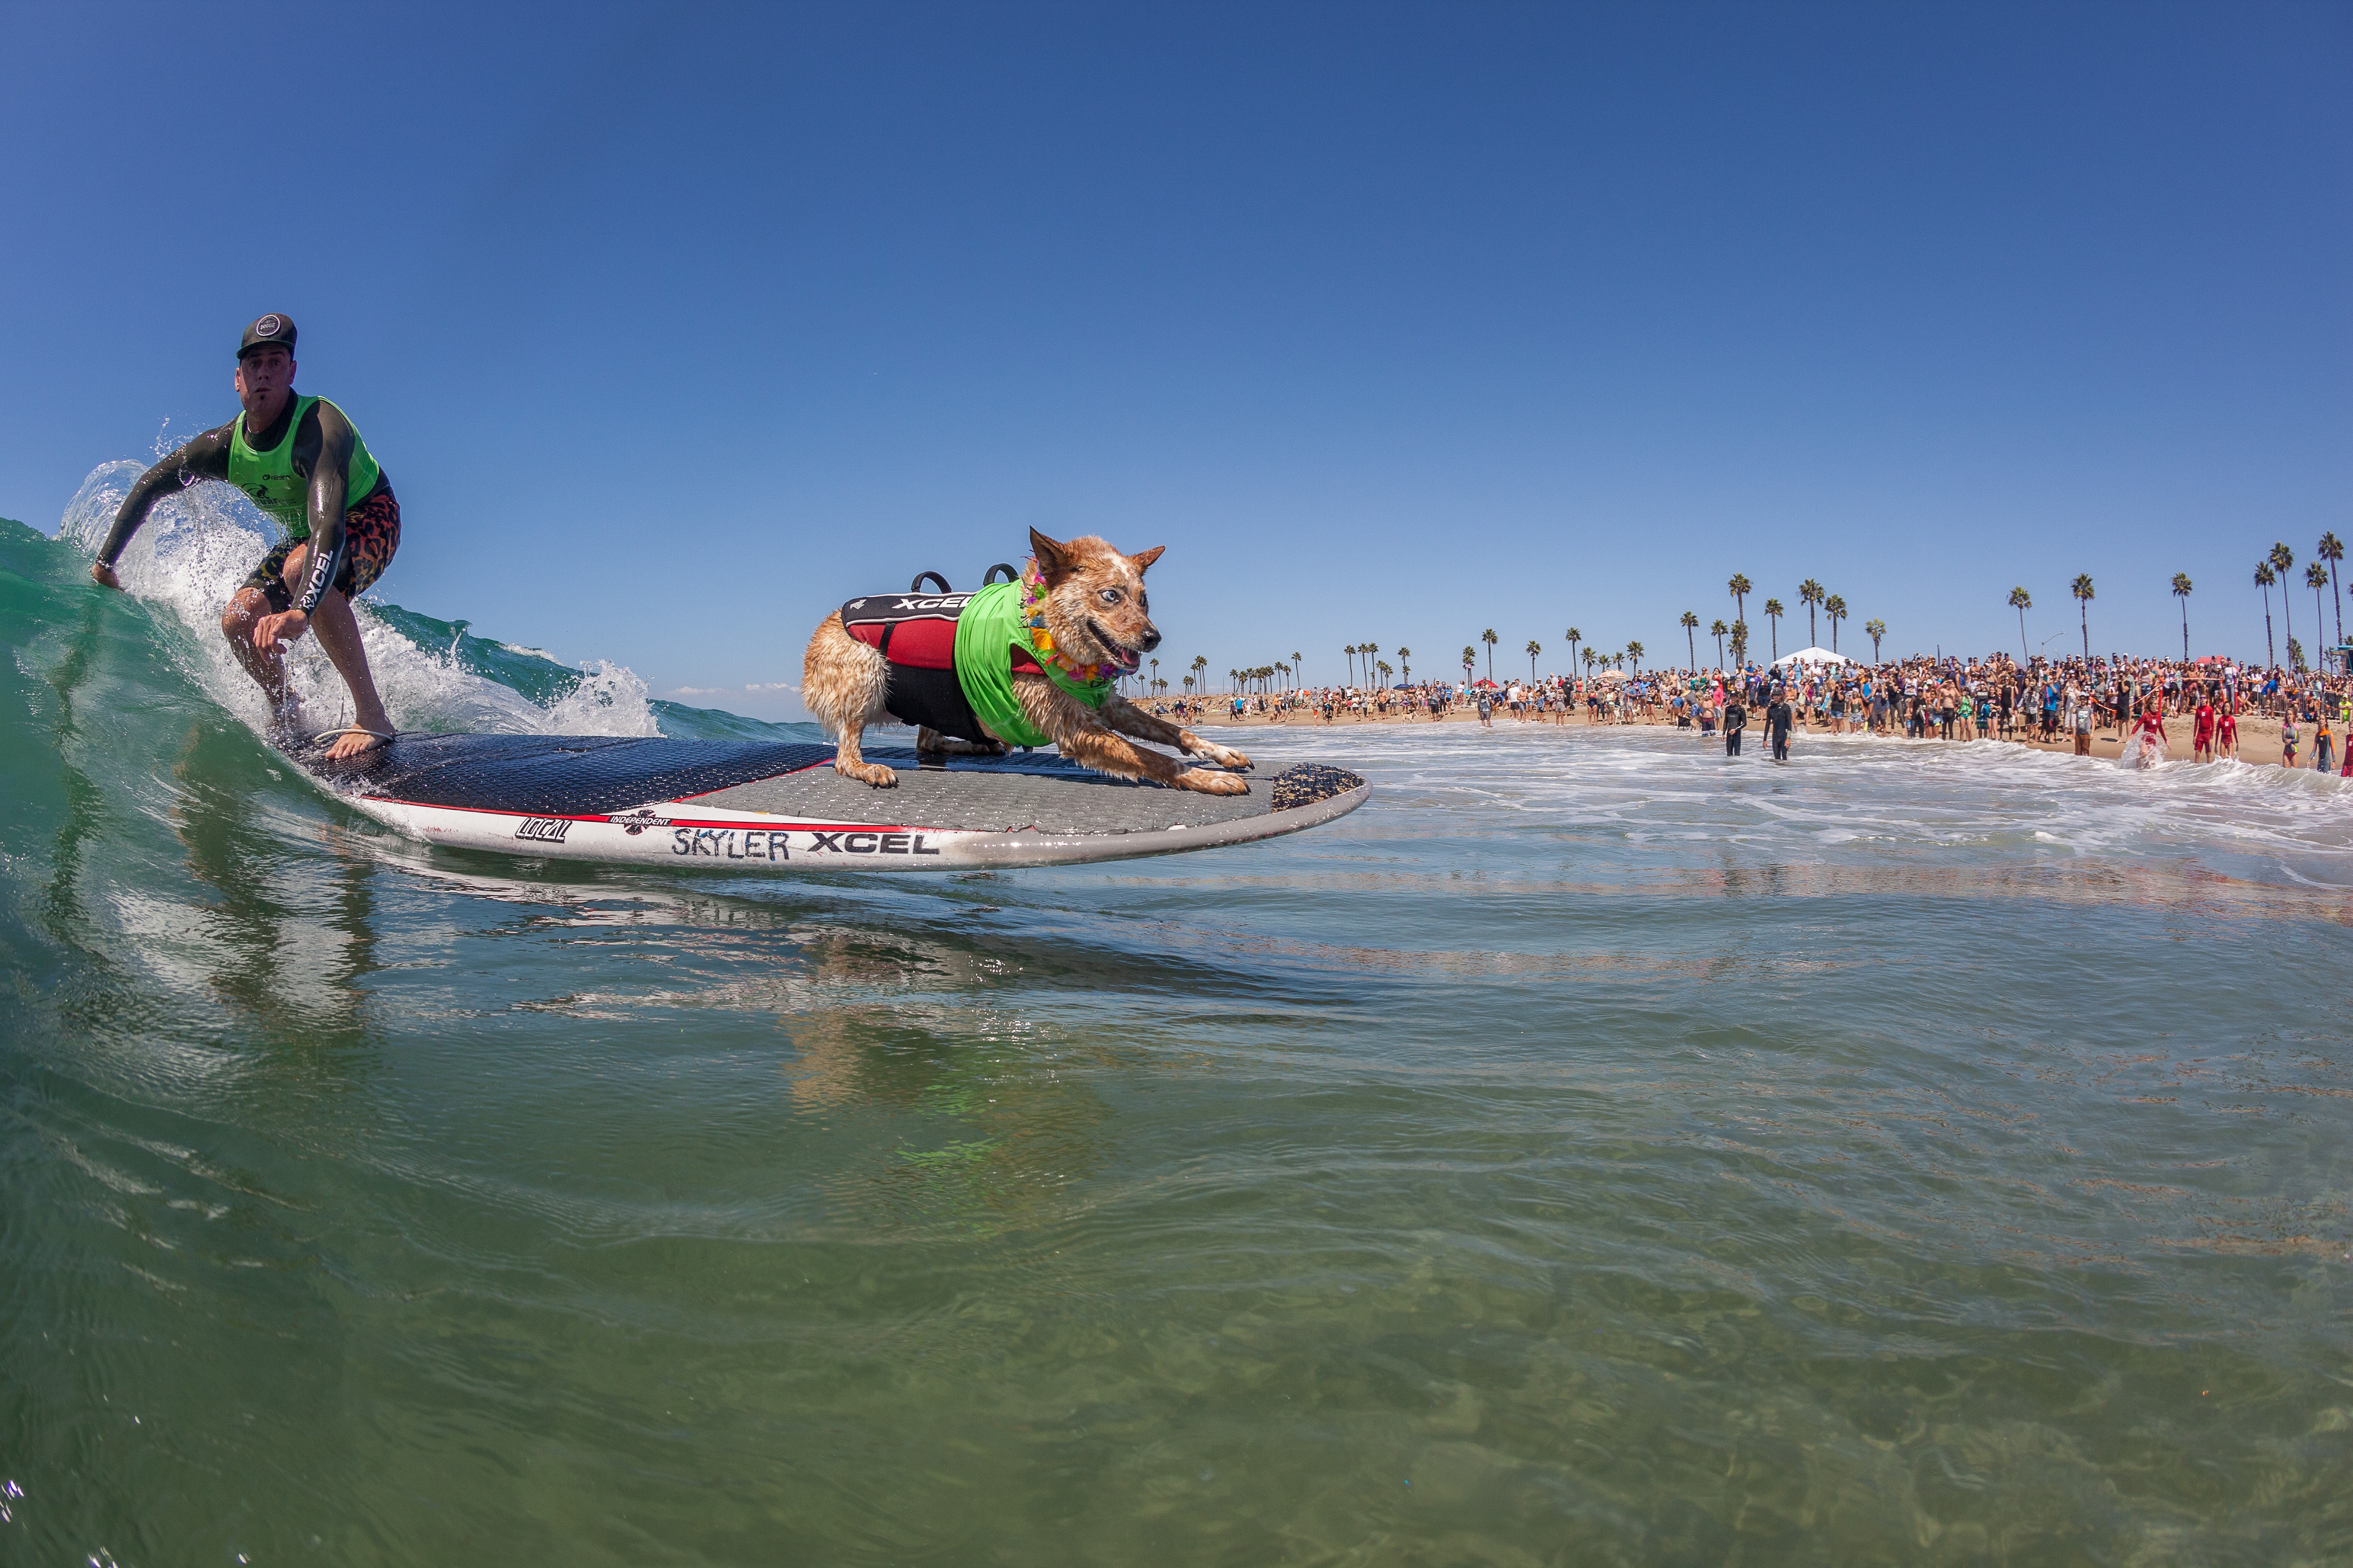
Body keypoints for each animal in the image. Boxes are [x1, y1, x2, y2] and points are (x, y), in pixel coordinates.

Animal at [805, 527, 1261, 796]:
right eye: (1110, 595)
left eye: (1143, 598)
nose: (1154, 637)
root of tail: (826, 621)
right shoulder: (1079, 731)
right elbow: (1155, 759)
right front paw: (1206, 778)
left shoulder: (1109, 704)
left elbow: (1175, 730)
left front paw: (1221, 753)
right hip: (868, 673)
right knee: (846, 754)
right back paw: (868, 767)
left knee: (927, 742)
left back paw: (980, 744)